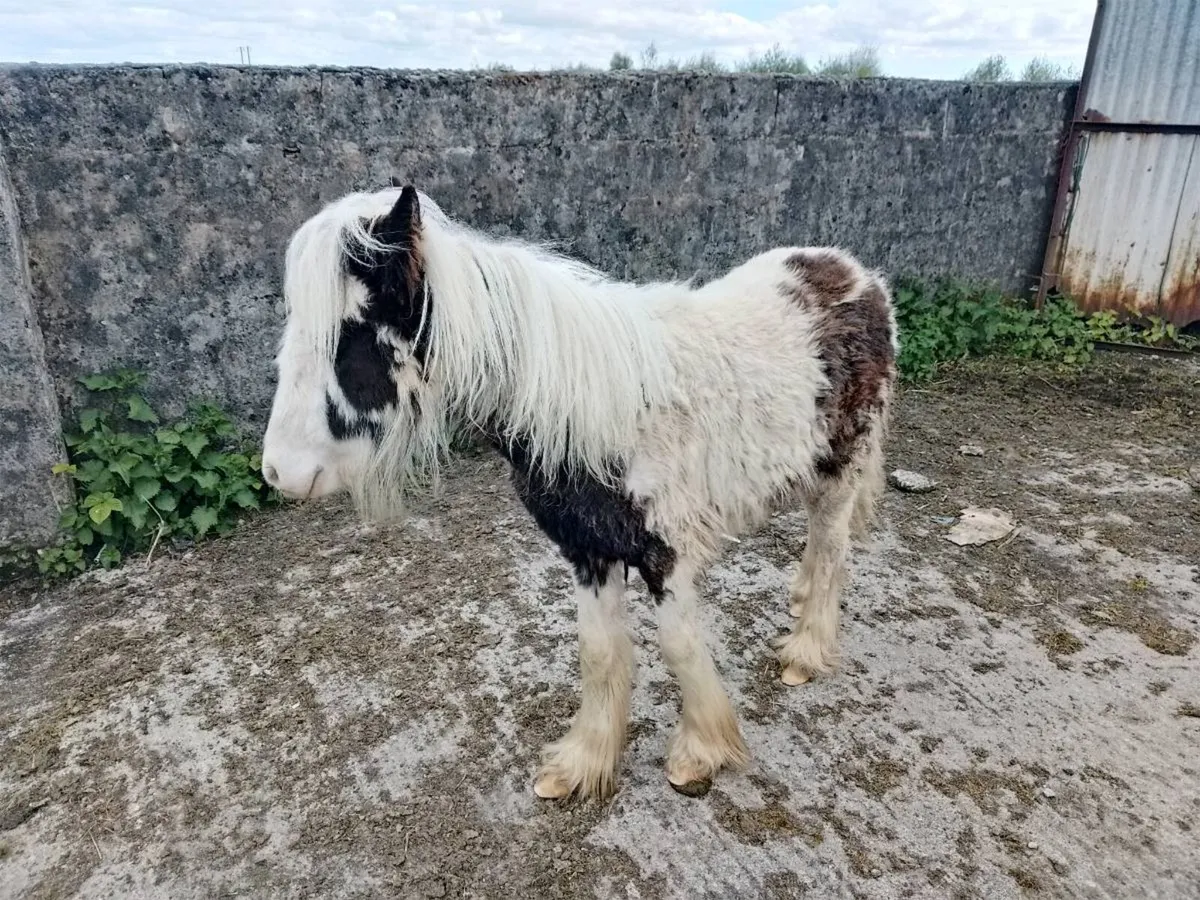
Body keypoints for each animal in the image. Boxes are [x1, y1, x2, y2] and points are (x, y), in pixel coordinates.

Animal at [260, 182, 898, 801]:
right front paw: (584, 763)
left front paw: (699, 753)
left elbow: (678, 646)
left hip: (843, 470)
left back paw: (806, 651)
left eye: (352, 333)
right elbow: (597, 651)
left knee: (831, 548)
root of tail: (861, 276)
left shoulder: (666, 554)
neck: (596, 413)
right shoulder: (586, 549)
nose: (278, 473)